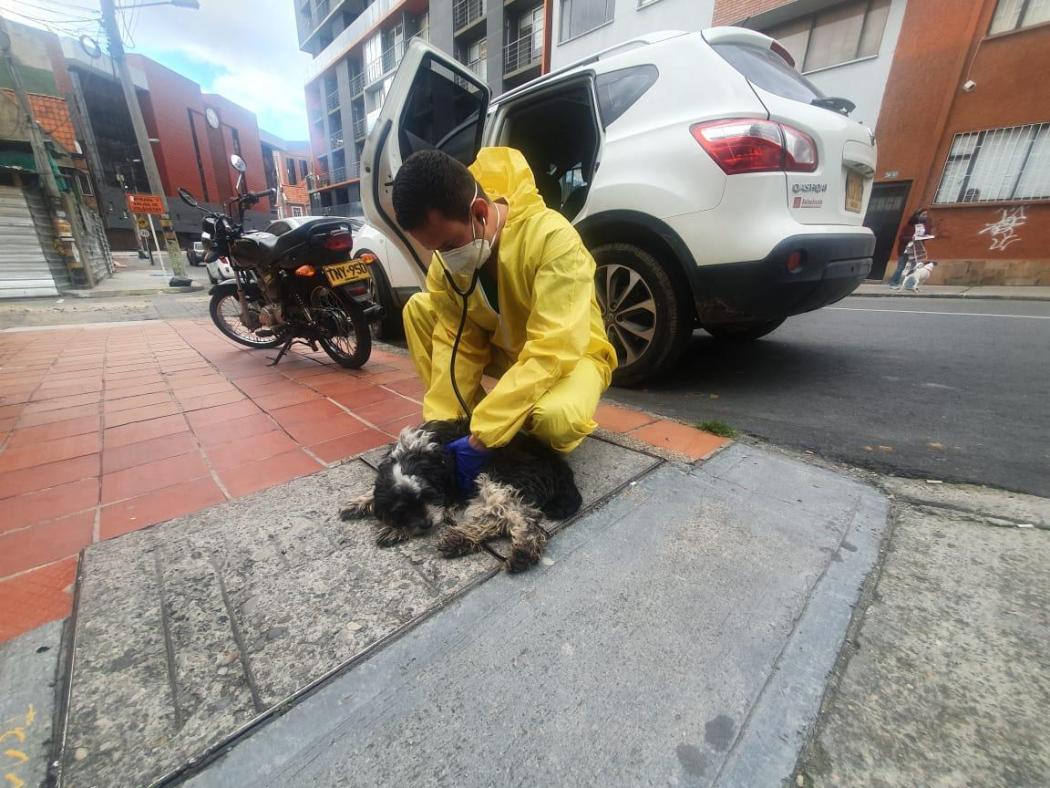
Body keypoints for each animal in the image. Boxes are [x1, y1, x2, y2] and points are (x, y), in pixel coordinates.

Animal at [338, 422, 579, 571]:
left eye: (428, 496)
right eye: (402, 508)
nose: (426, 525)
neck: (415, 456)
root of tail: (557, 463)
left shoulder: (451, 492)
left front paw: (394, 529)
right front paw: (358, 504)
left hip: (497, 477)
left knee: (520, 518)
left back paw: (521, 553)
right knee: (499, 518)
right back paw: (459, 540)